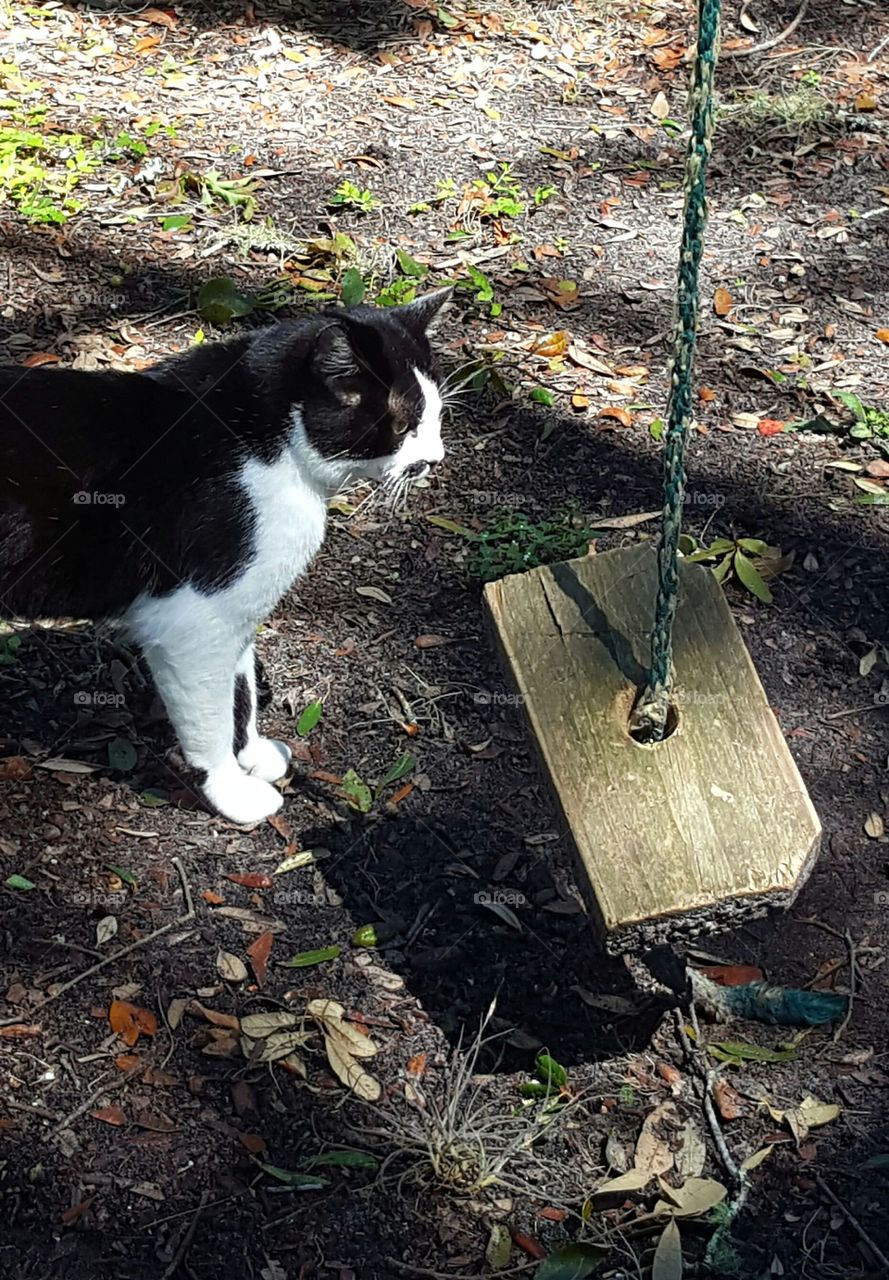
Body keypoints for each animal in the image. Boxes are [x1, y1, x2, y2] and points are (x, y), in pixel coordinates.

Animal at [0, 289, 447, 824]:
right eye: (402, 425)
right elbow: (211, 715)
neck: (266, 442)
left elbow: (242, 687)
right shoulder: (193, 620)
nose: (436, 460)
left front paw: (251, 753)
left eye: (438, 417)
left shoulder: (239, 609)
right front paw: (229, 788)